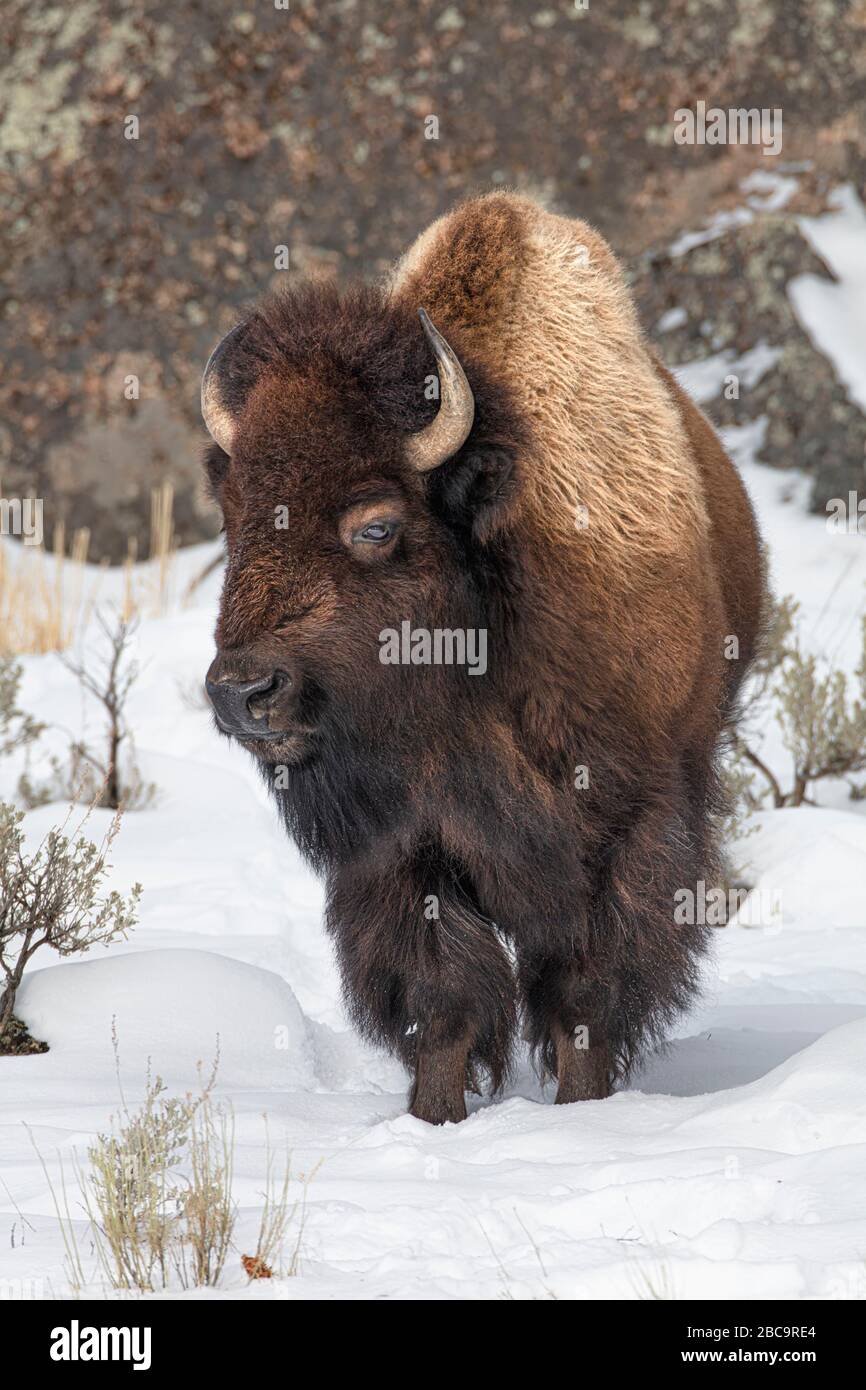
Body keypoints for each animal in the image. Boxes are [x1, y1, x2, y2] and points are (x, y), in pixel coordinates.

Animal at [201, 193, 764, 1123]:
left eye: (377, 524)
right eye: (235, 516)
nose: (244, 693)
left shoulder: (626, 825)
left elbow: (584, 993)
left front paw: (582, 1113)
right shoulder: (401, 854)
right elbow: (444, 999)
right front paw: (433, 1120)